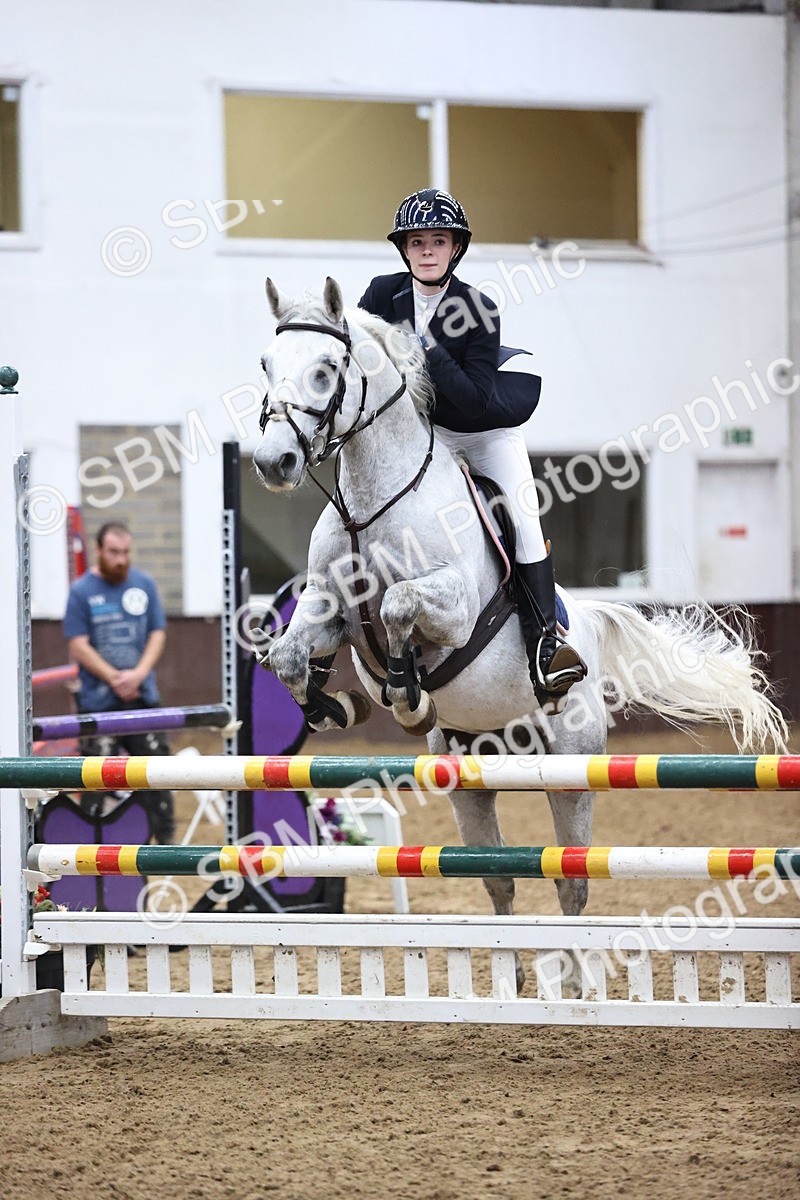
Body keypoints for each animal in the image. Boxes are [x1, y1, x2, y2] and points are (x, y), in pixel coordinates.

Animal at [252, 278, 787, 995]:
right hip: (469, 781)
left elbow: (397, 605)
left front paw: (407, 694)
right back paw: (508, 978)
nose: (273, 462)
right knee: (500, 878)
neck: (372, 504)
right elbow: (287, 652)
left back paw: (580, 986)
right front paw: (331, 705)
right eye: (265, 366)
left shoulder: (452, 609)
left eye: (326, 369)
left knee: (572, 881)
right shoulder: (327, 605)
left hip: (572, 770)